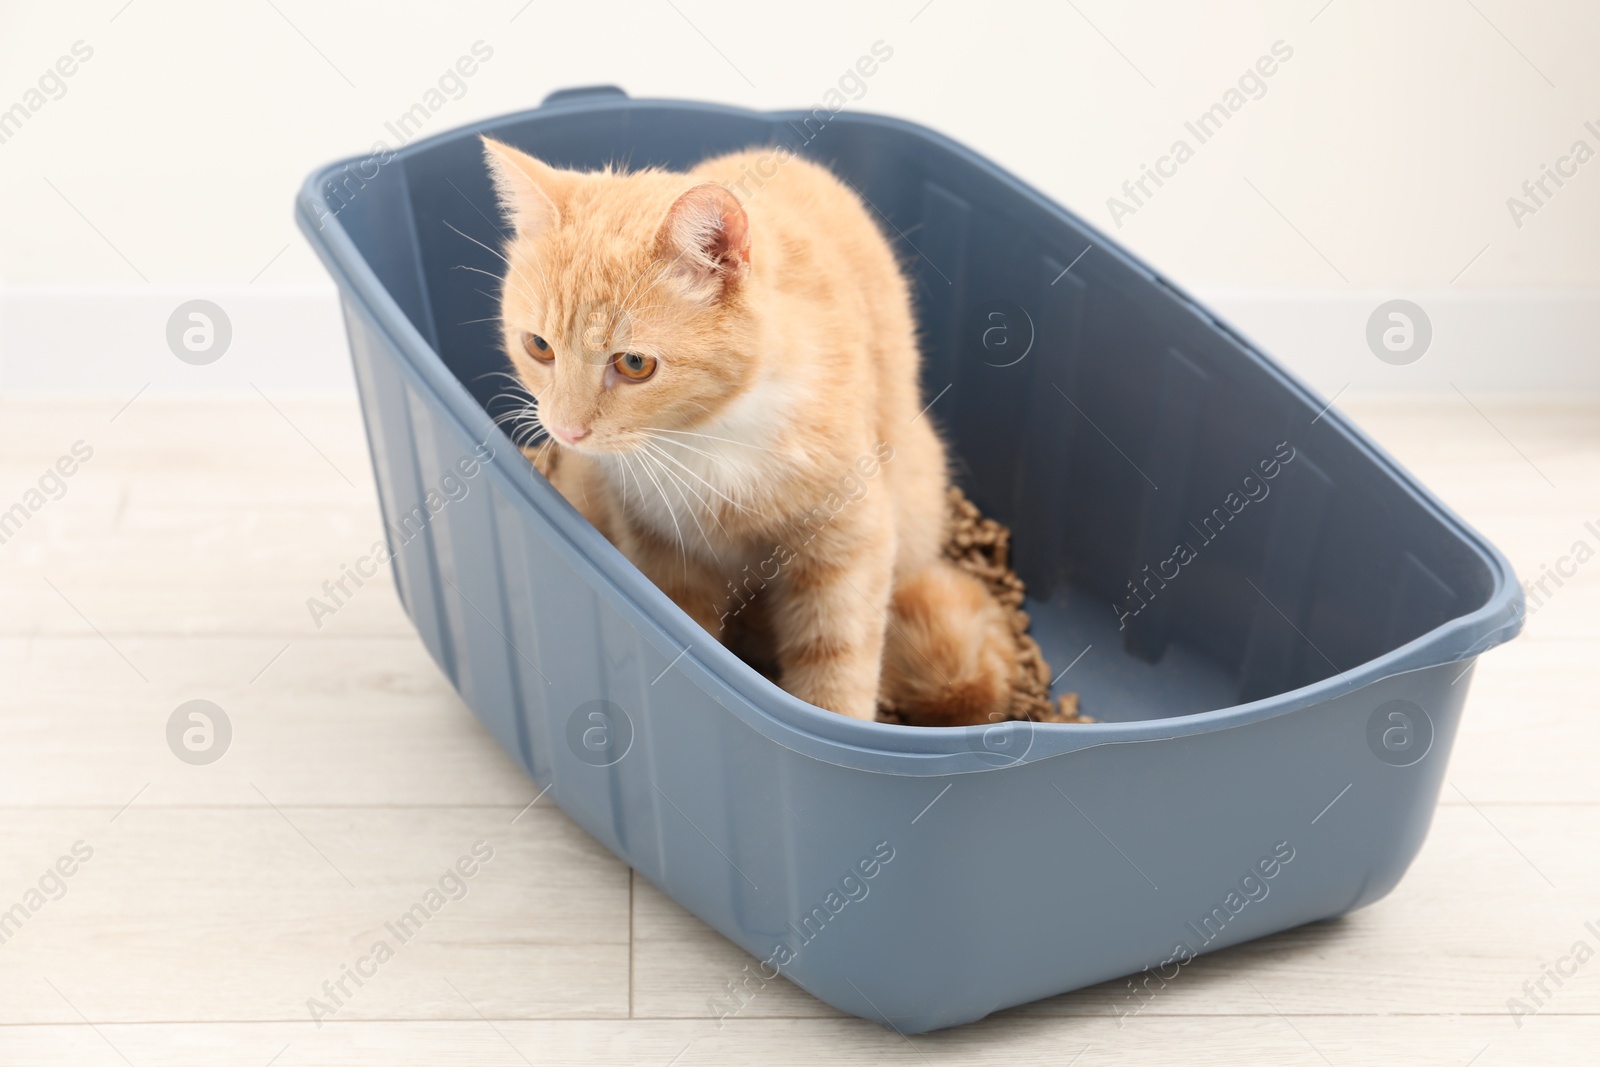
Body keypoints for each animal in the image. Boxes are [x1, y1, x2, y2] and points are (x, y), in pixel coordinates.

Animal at [480, 137, 1017, 726]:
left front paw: (835, 718)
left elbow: (838, 656)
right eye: (539, 347)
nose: (565, 431)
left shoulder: (850, 540)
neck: (703, 438)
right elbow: (685, 632)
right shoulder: (659, 544)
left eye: (635, 363)